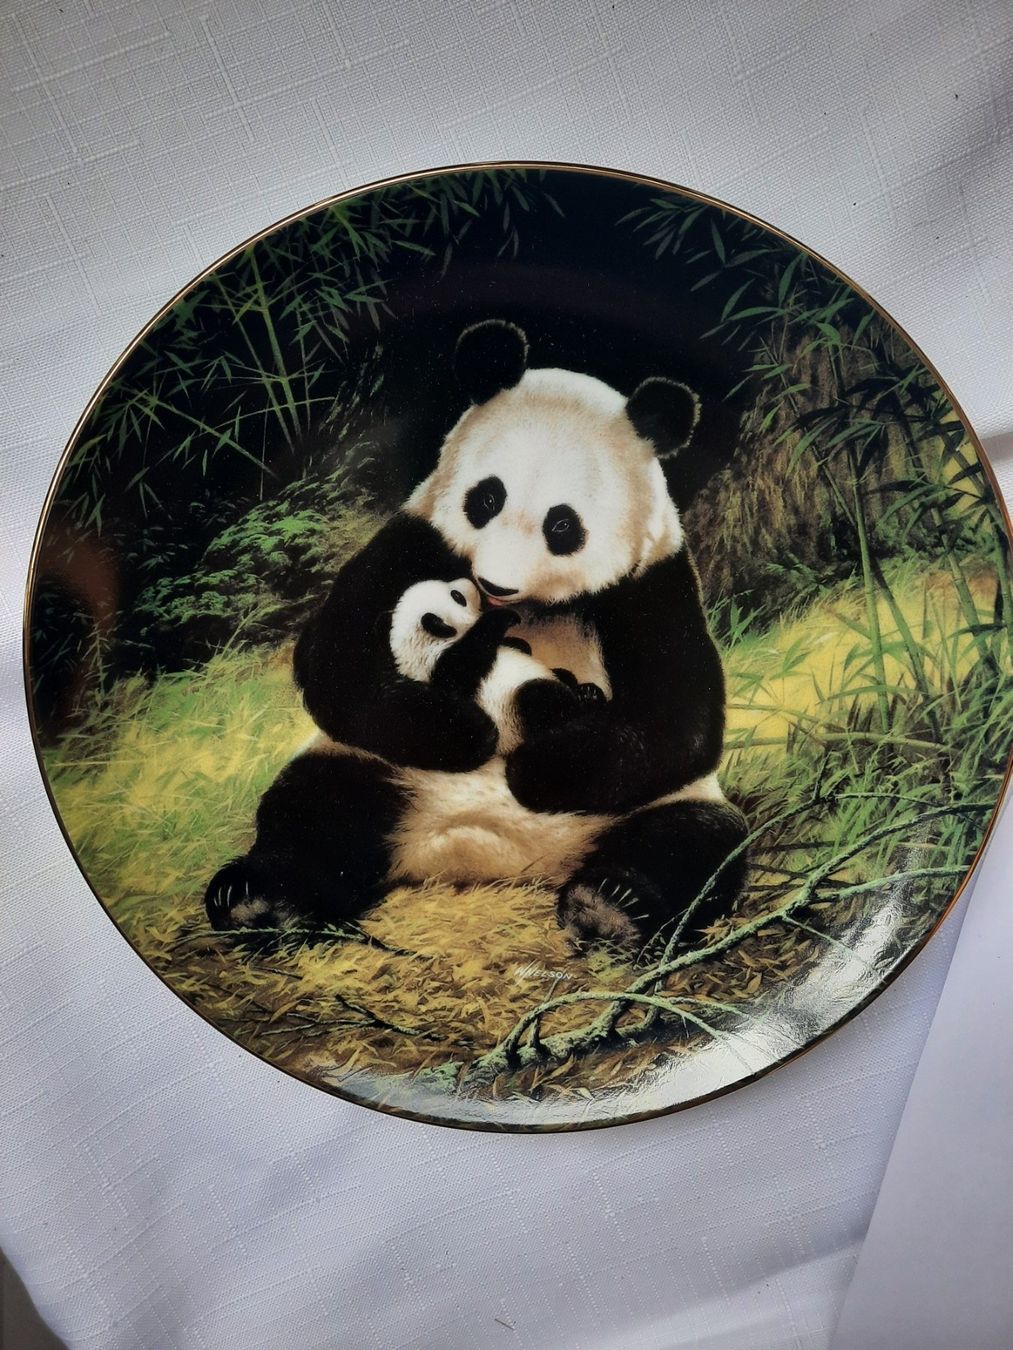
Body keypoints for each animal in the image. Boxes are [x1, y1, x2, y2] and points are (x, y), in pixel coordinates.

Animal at [205, 320, 749, 951]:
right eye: (486, 497)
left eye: (563, 525)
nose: (494, 583)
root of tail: (483, 853)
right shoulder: (417, 536)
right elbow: (335, 661)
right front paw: (467, 733)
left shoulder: (653, 582)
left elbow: (680, 719)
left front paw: (533, 768)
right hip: (381, 769)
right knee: (316, 807)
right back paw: (258, 898)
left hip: (640, 808)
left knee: (695, 840)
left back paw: (612, 904)